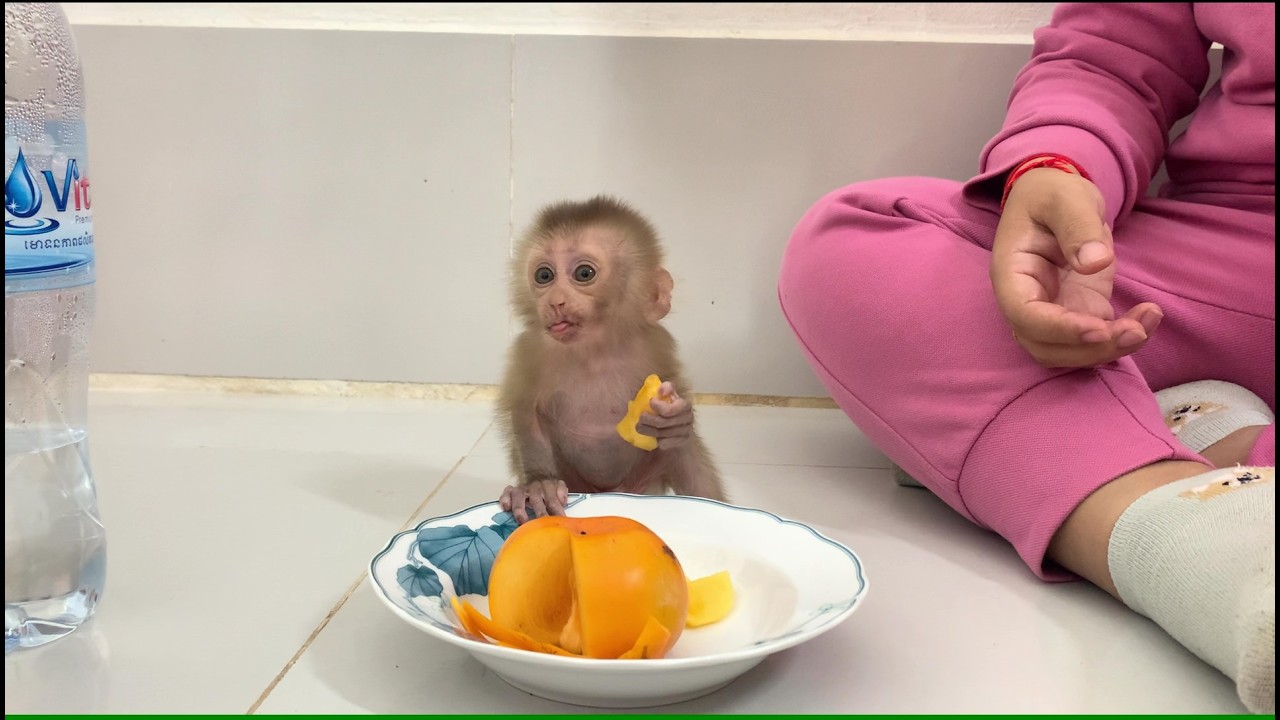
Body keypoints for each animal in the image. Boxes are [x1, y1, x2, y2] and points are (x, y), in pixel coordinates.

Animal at [495, 195, 726, 523]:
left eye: (584, 274)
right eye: (544, 276)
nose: (555, 301)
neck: (595, 350)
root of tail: (613, 491)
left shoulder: (656, 343)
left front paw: (676, 418)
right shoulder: (530, 350)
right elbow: (526, 412)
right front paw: (539, 485)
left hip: (645, 481)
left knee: (685, 454)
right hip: (578, 482)